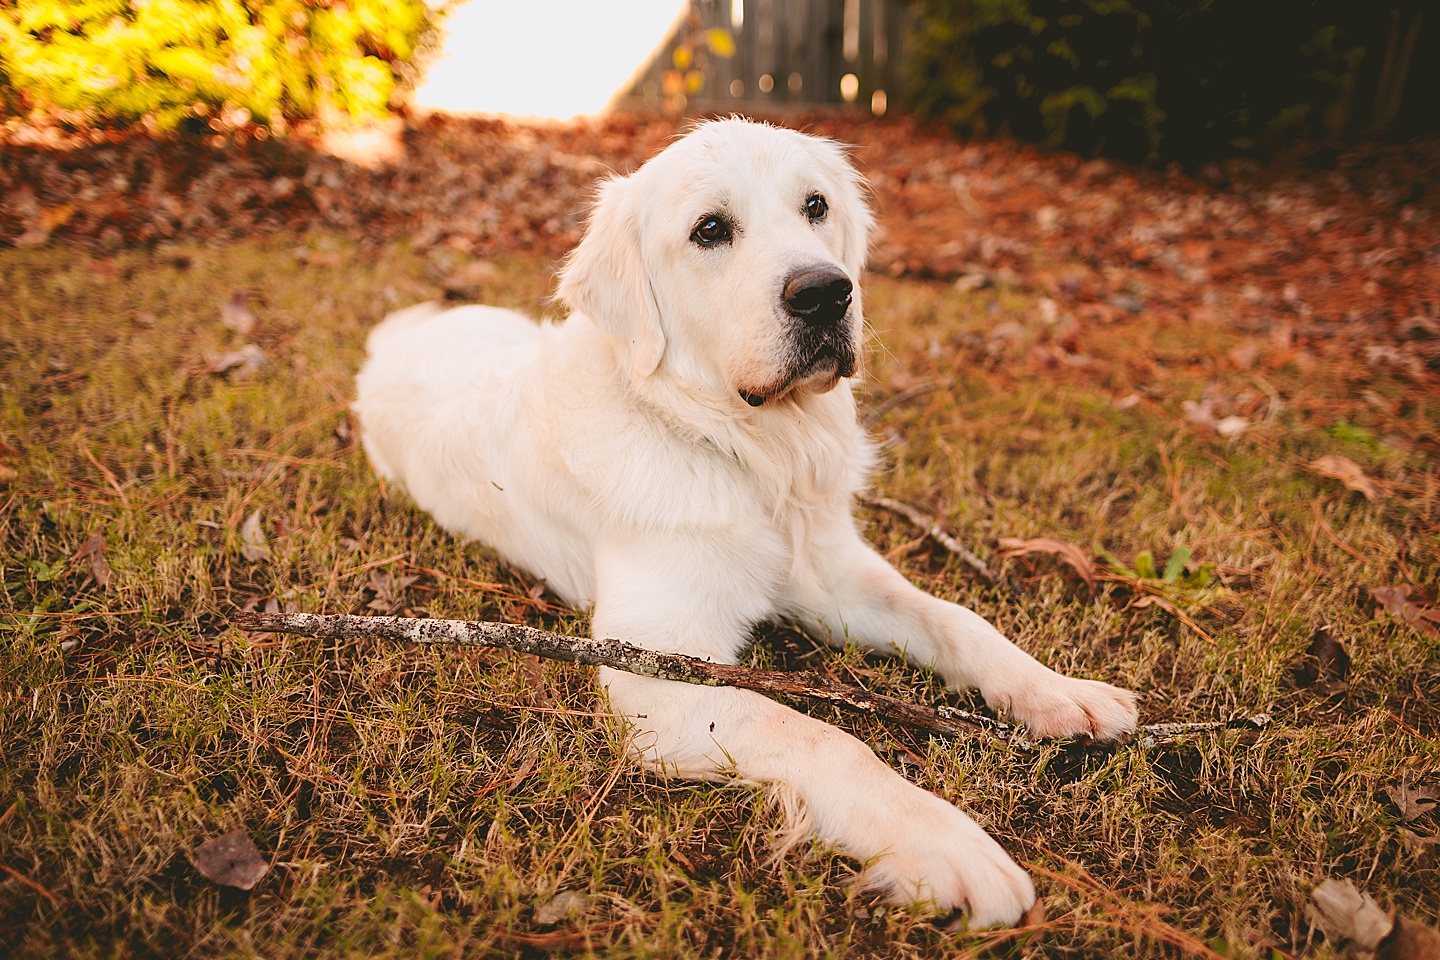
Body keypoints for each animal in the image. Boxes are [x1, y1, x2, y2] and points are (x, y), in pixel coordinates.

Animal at [357, 116, 1134, 926]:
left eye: (816, 206)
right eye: (710, 229)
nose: (826, 293)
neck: (751, 454)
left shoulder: (831, 576)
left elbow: (957, 619)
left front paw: (1060, 692)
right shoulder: (653, 676)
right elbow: (818, 734)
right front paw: (947, 843)